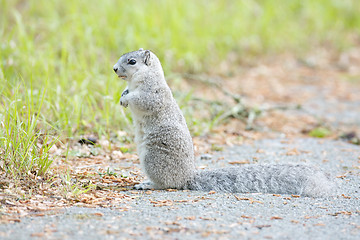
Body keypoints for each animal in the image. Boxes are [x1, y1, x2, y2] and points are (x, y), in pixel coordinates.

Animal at [114, 48, 336, 197]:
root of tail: (187, 177)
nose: (115, 68)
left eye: (132, 61)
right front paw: (122, 95)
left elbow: (142, 101)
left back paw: (148, 184)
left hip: (154, 159)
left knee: (168, 183)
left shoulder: (153, 95)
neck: (142, 78)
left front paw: (126, 99)